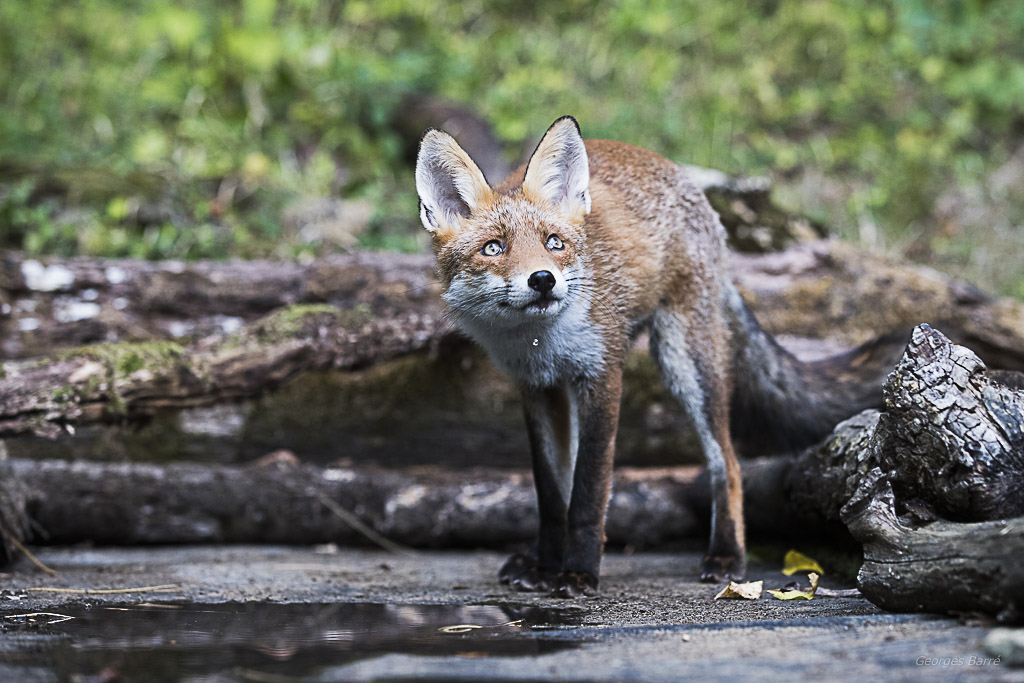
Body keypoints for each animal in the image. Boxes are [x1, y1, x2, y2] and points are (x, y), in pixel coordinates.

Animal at [413, 114, 905, 593]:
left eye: (554, 243)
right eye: (493, 248)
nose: (543, 280)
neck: (538, 342)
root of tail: (683, 178)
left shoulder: (602, 374)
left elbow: (589, 492)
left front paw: (579, 572)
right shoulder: (537, 388)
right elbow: (553, 495)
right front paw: (545, 565)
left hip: (684, 362)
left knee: (727, 463)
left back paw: (727, 556)